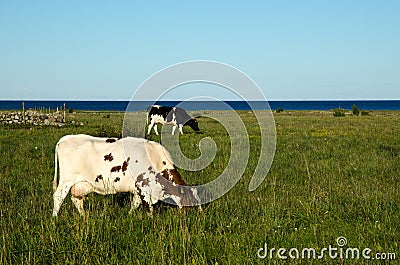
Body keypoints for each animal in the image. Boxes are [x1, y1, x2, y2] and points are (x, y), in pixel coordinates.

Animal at [52, 133, 199, 216]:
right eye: (189, 200)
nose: (196, 216)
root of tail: (66, 139)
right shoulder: (143, 187)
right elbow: (148, 208)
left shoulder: (138, 189)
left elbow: (135, 204)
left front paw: (129, 215)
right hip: (66, 179)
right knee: (58, 197)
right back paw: (54, 219)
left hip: (81, 183)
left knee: (76, 199)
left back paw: (83, 216)